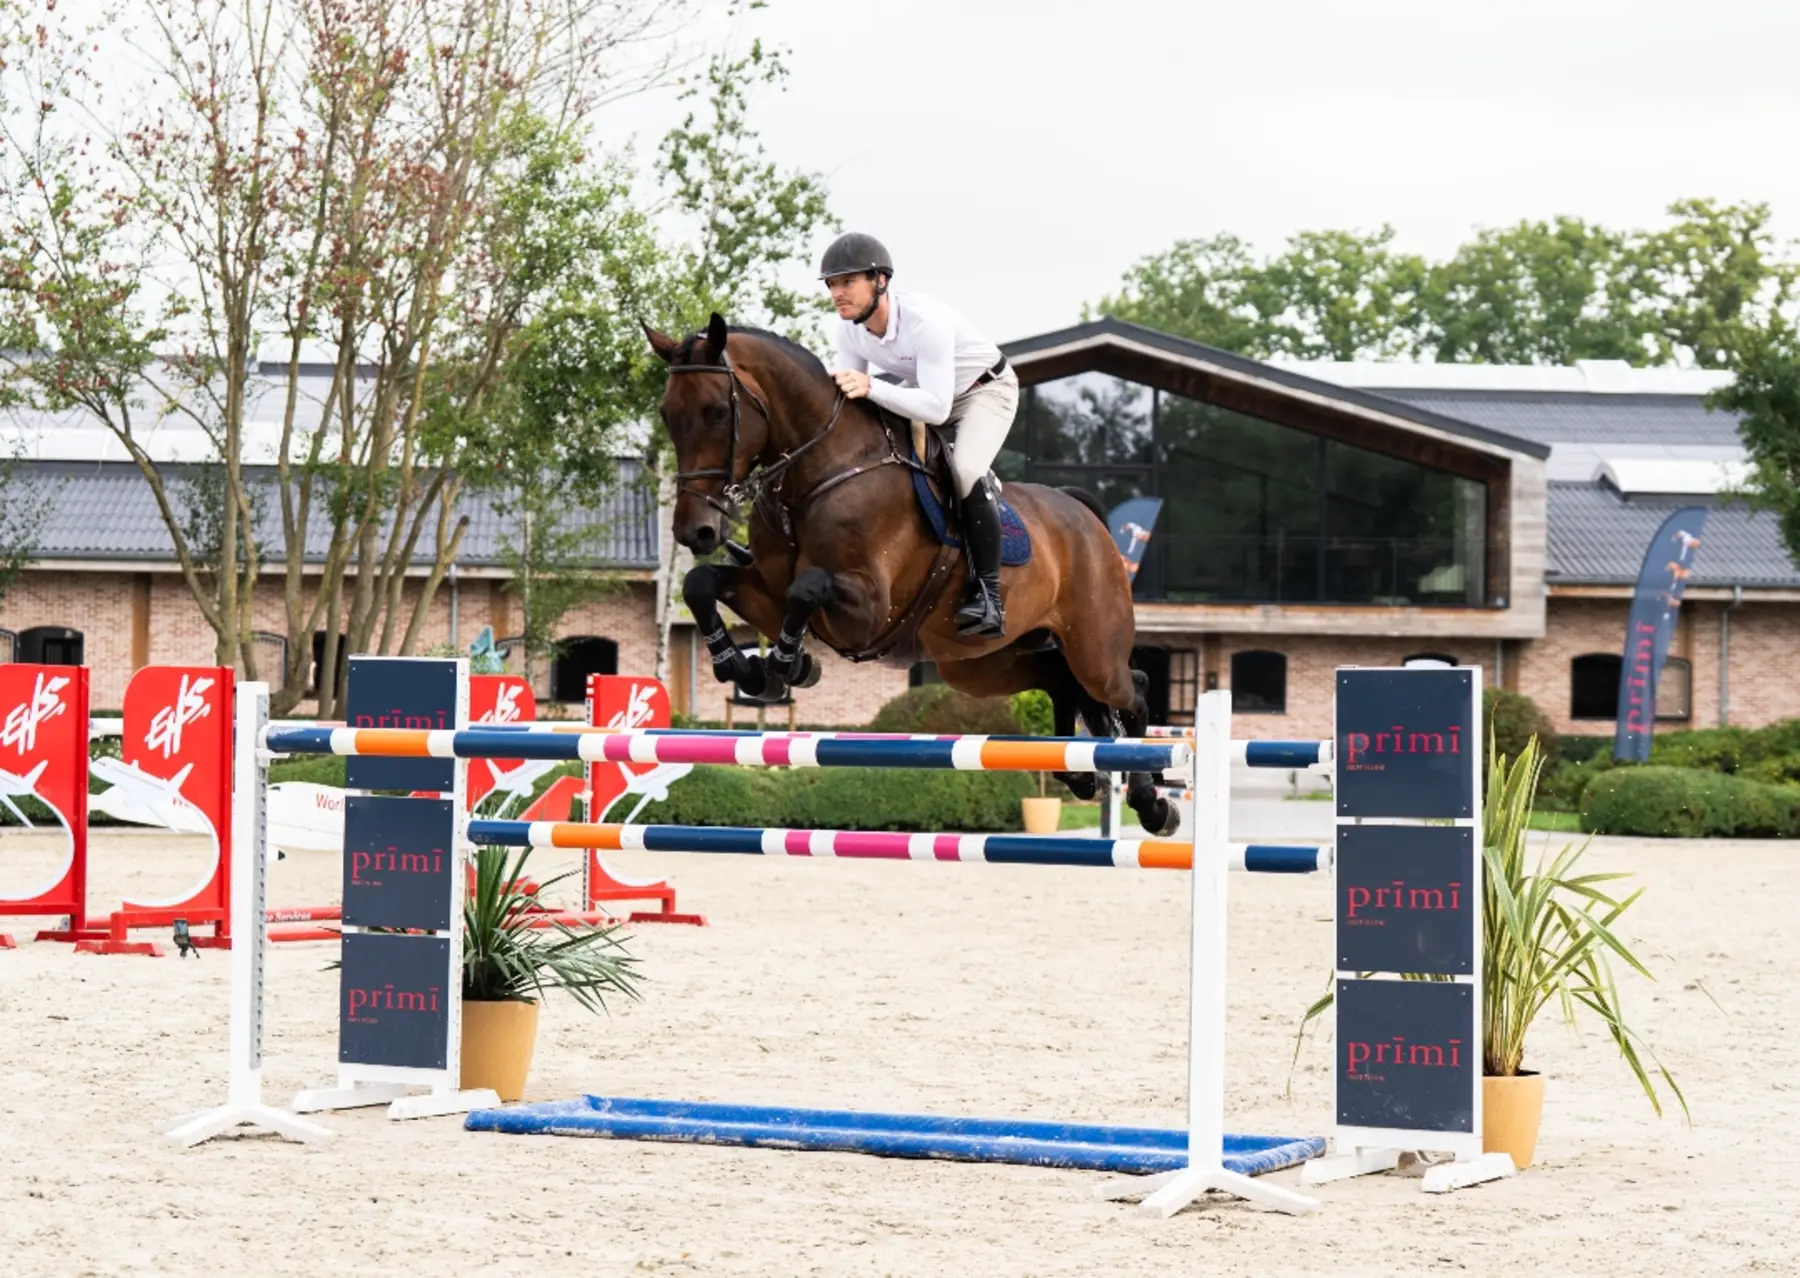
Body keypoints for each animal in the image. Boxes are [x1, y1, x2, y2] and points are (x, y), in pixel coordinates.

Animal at [643, 312, 1178, 837]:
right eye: (667, 414)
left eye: (716, 411)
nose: (695, 530)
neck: (819, 473)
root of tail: (1085, 514)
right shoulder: (768, 594)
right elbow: (701, 584)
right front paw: (746, 666)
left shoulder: (867, 610)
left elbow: (807, 587)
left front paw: (786, 663)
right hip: (979, 664)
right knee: (1060, 680)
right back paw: (1082, 777)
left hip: (1093, 650)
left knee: (1130, 690)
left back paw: (1152, 803)